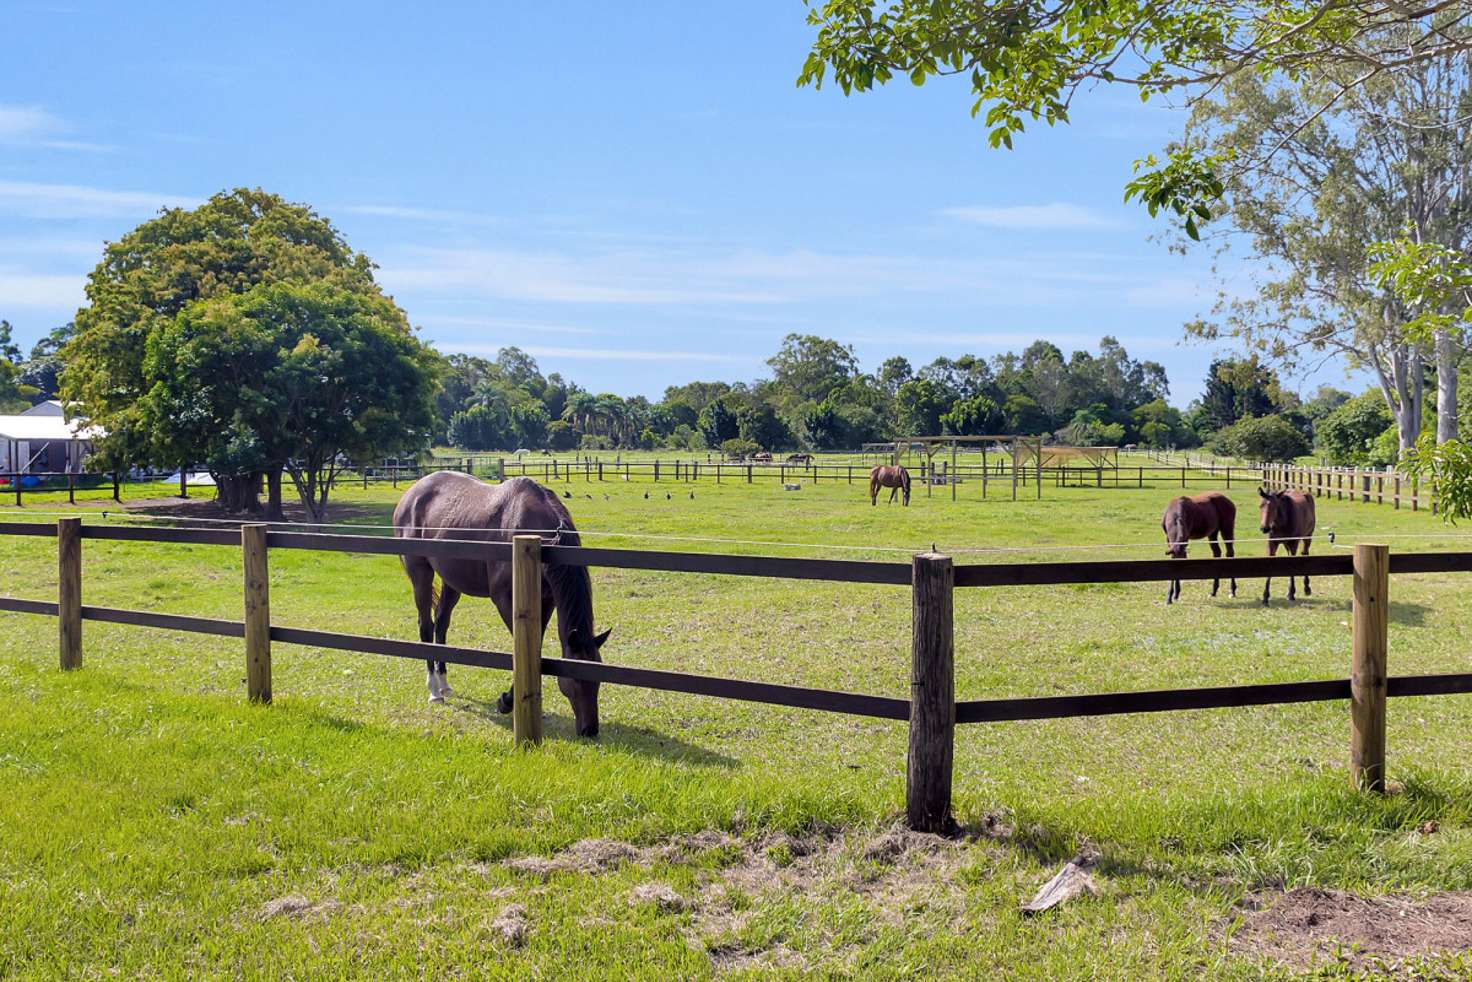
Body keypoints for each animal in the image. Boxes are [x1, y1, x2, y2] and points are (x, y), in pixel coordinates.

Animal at [391, 471, 609, 736]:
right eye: (577, 679)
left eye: (599, 677)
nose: (590, 729)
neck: (541, 539)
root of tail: (412, 493)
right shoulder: (505, 600)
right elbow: (523, 646)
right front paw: (507, 702)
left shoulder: (546, 601)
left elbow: (534, 645)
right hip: (420, 574)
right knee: (425, 625)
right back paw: (434, 689)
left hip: (451, 581)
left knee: (441, 623)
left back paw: (444, 684)